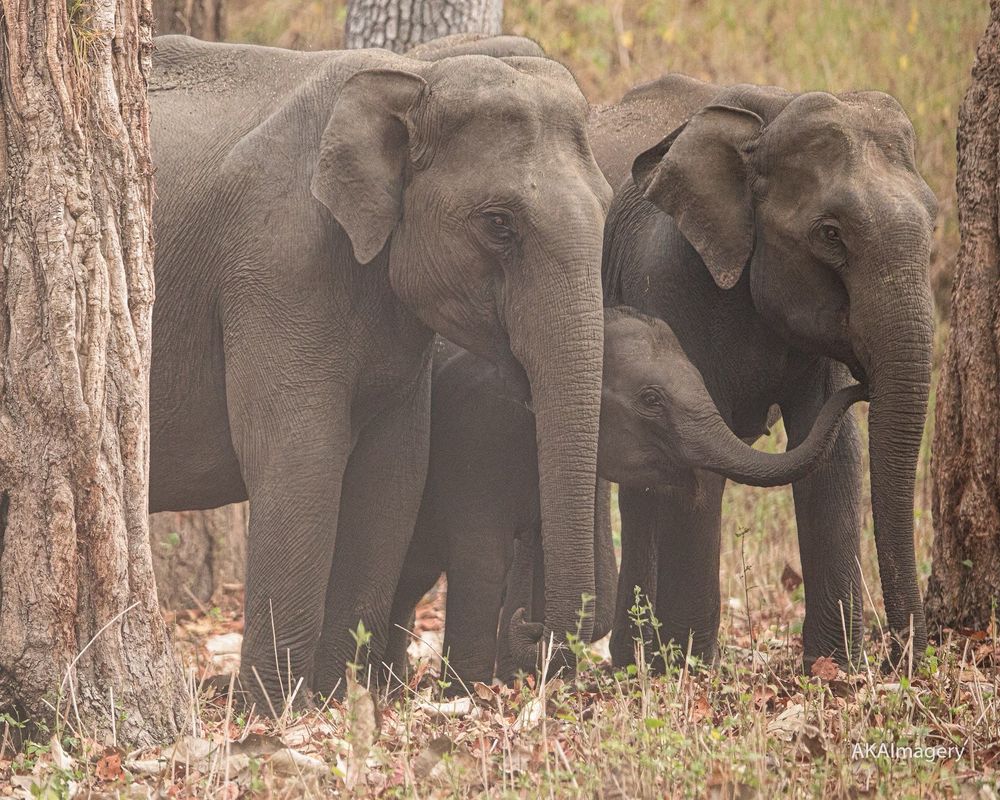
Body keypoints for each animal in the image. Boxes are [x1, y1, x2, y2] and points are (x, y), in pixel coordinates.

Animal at [147, 35, 613, 706]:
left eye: (608, 208)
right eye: (499, 223)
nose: (529, 624)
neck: (415, 73)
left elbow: (392, 471)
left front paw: (338, 703)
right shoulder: (278, 268)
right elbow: (301, 458)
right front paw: (273, 713)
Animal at [582, 74, 937, 672]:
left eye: (934, 219)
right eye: (830, 234)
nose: (903, 660)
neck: (764, 123)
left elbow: (833, 452)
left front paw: (834, 671)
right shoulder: (669, 282)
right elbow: (698, 464)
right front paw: (693, 668)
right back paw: (639, 664)